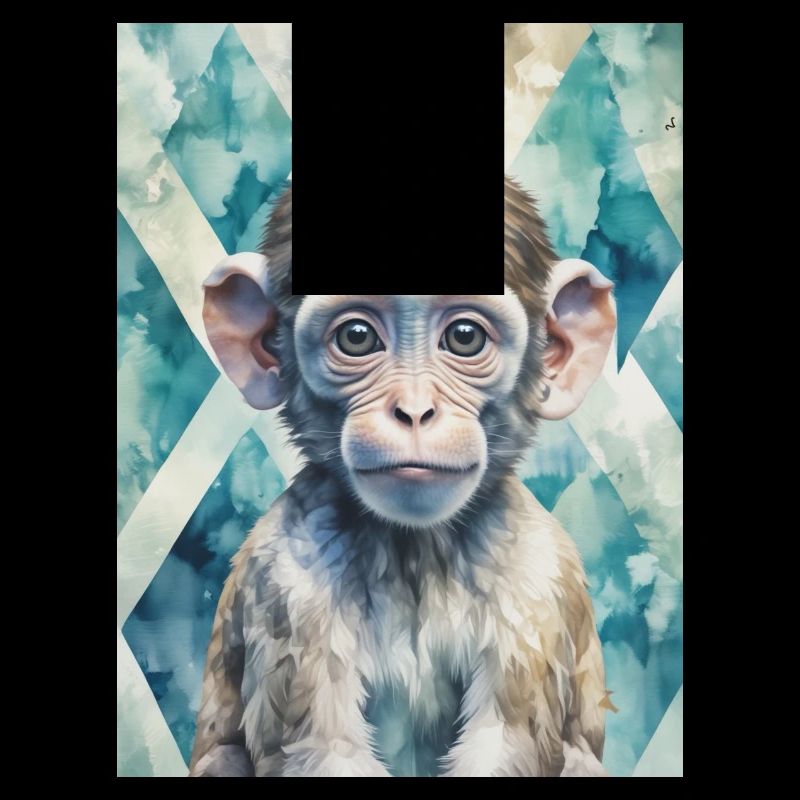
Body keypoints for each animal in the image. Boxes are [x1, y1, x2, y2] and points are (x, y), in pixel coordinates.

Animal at [188, 176, 617, 777]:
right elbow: (323, 749)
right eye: (357, 336)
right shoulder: (288, 578)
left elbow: (507, 742)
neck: (415, 549)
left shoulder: (537, 576)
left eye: (464, 336)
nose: (414, 411)